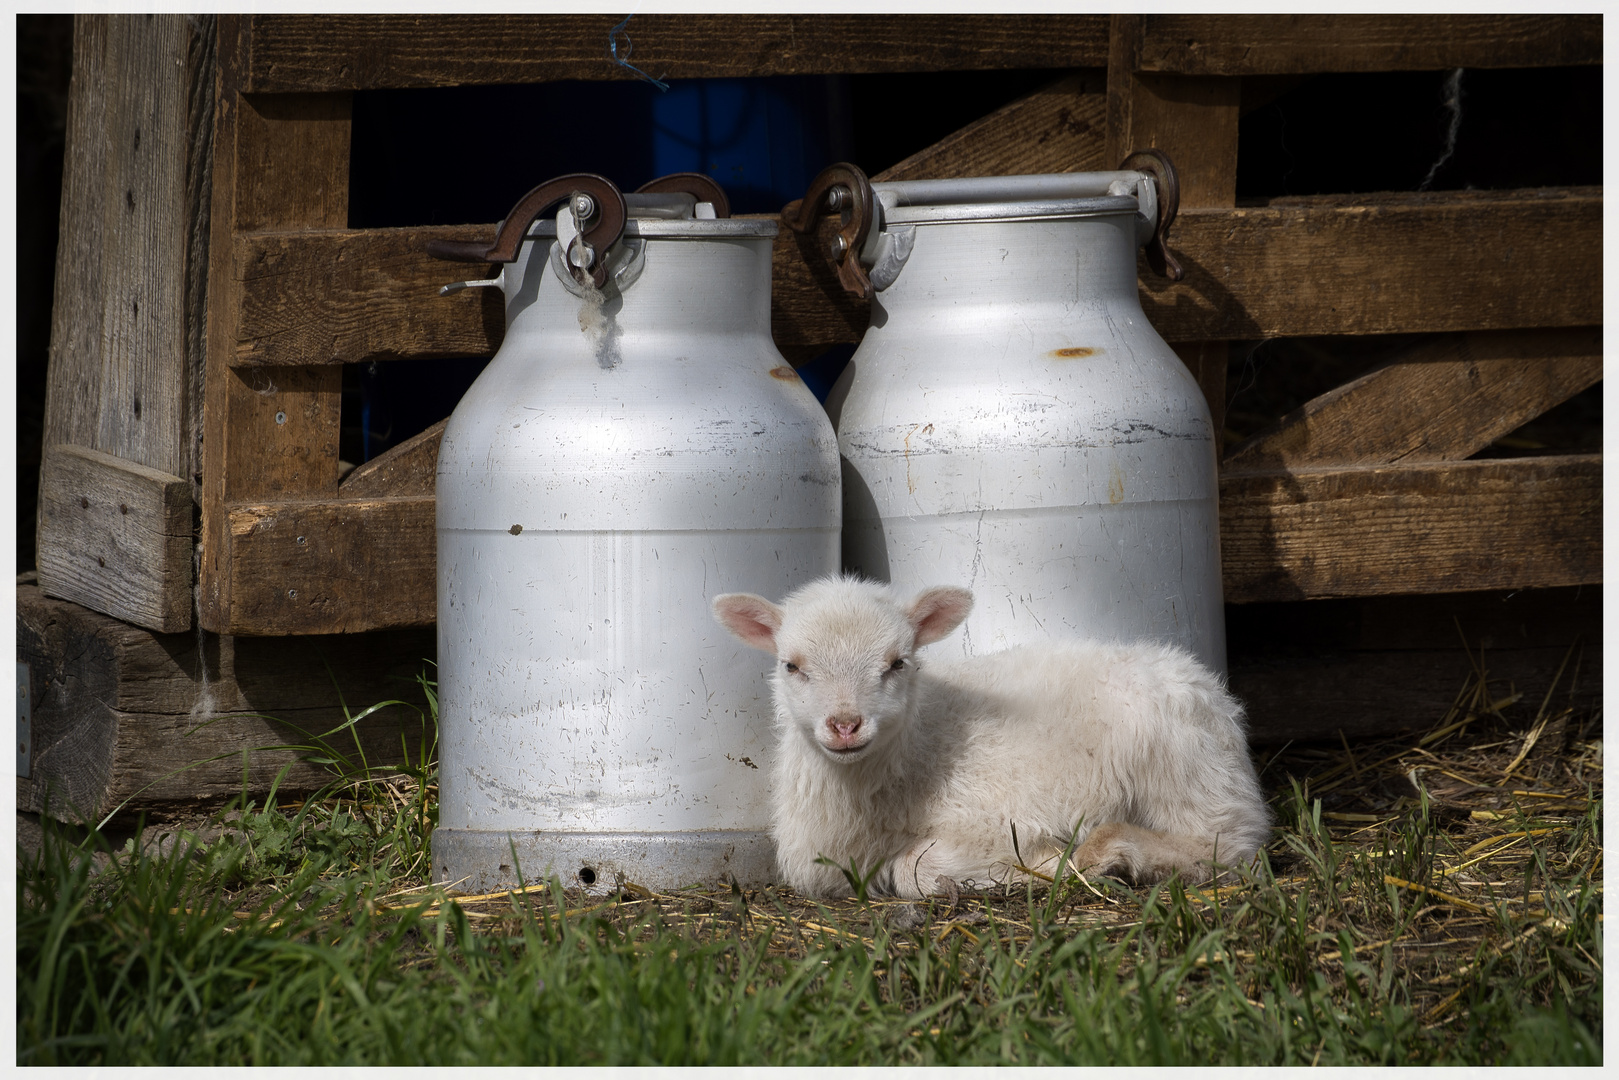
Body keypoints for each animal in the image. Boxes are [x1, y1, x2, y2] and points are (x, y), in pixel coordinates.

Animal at [715, 579, 1269, 900]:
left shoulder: (1000, 813)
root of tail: (1211, 689)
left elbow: (916, 867)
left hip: (1183, 769)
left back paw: (1114, 852)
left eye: (898, 663)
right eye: (791, 665)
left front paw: (1046, 863)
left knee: (1227, 845)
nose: (845, 725)